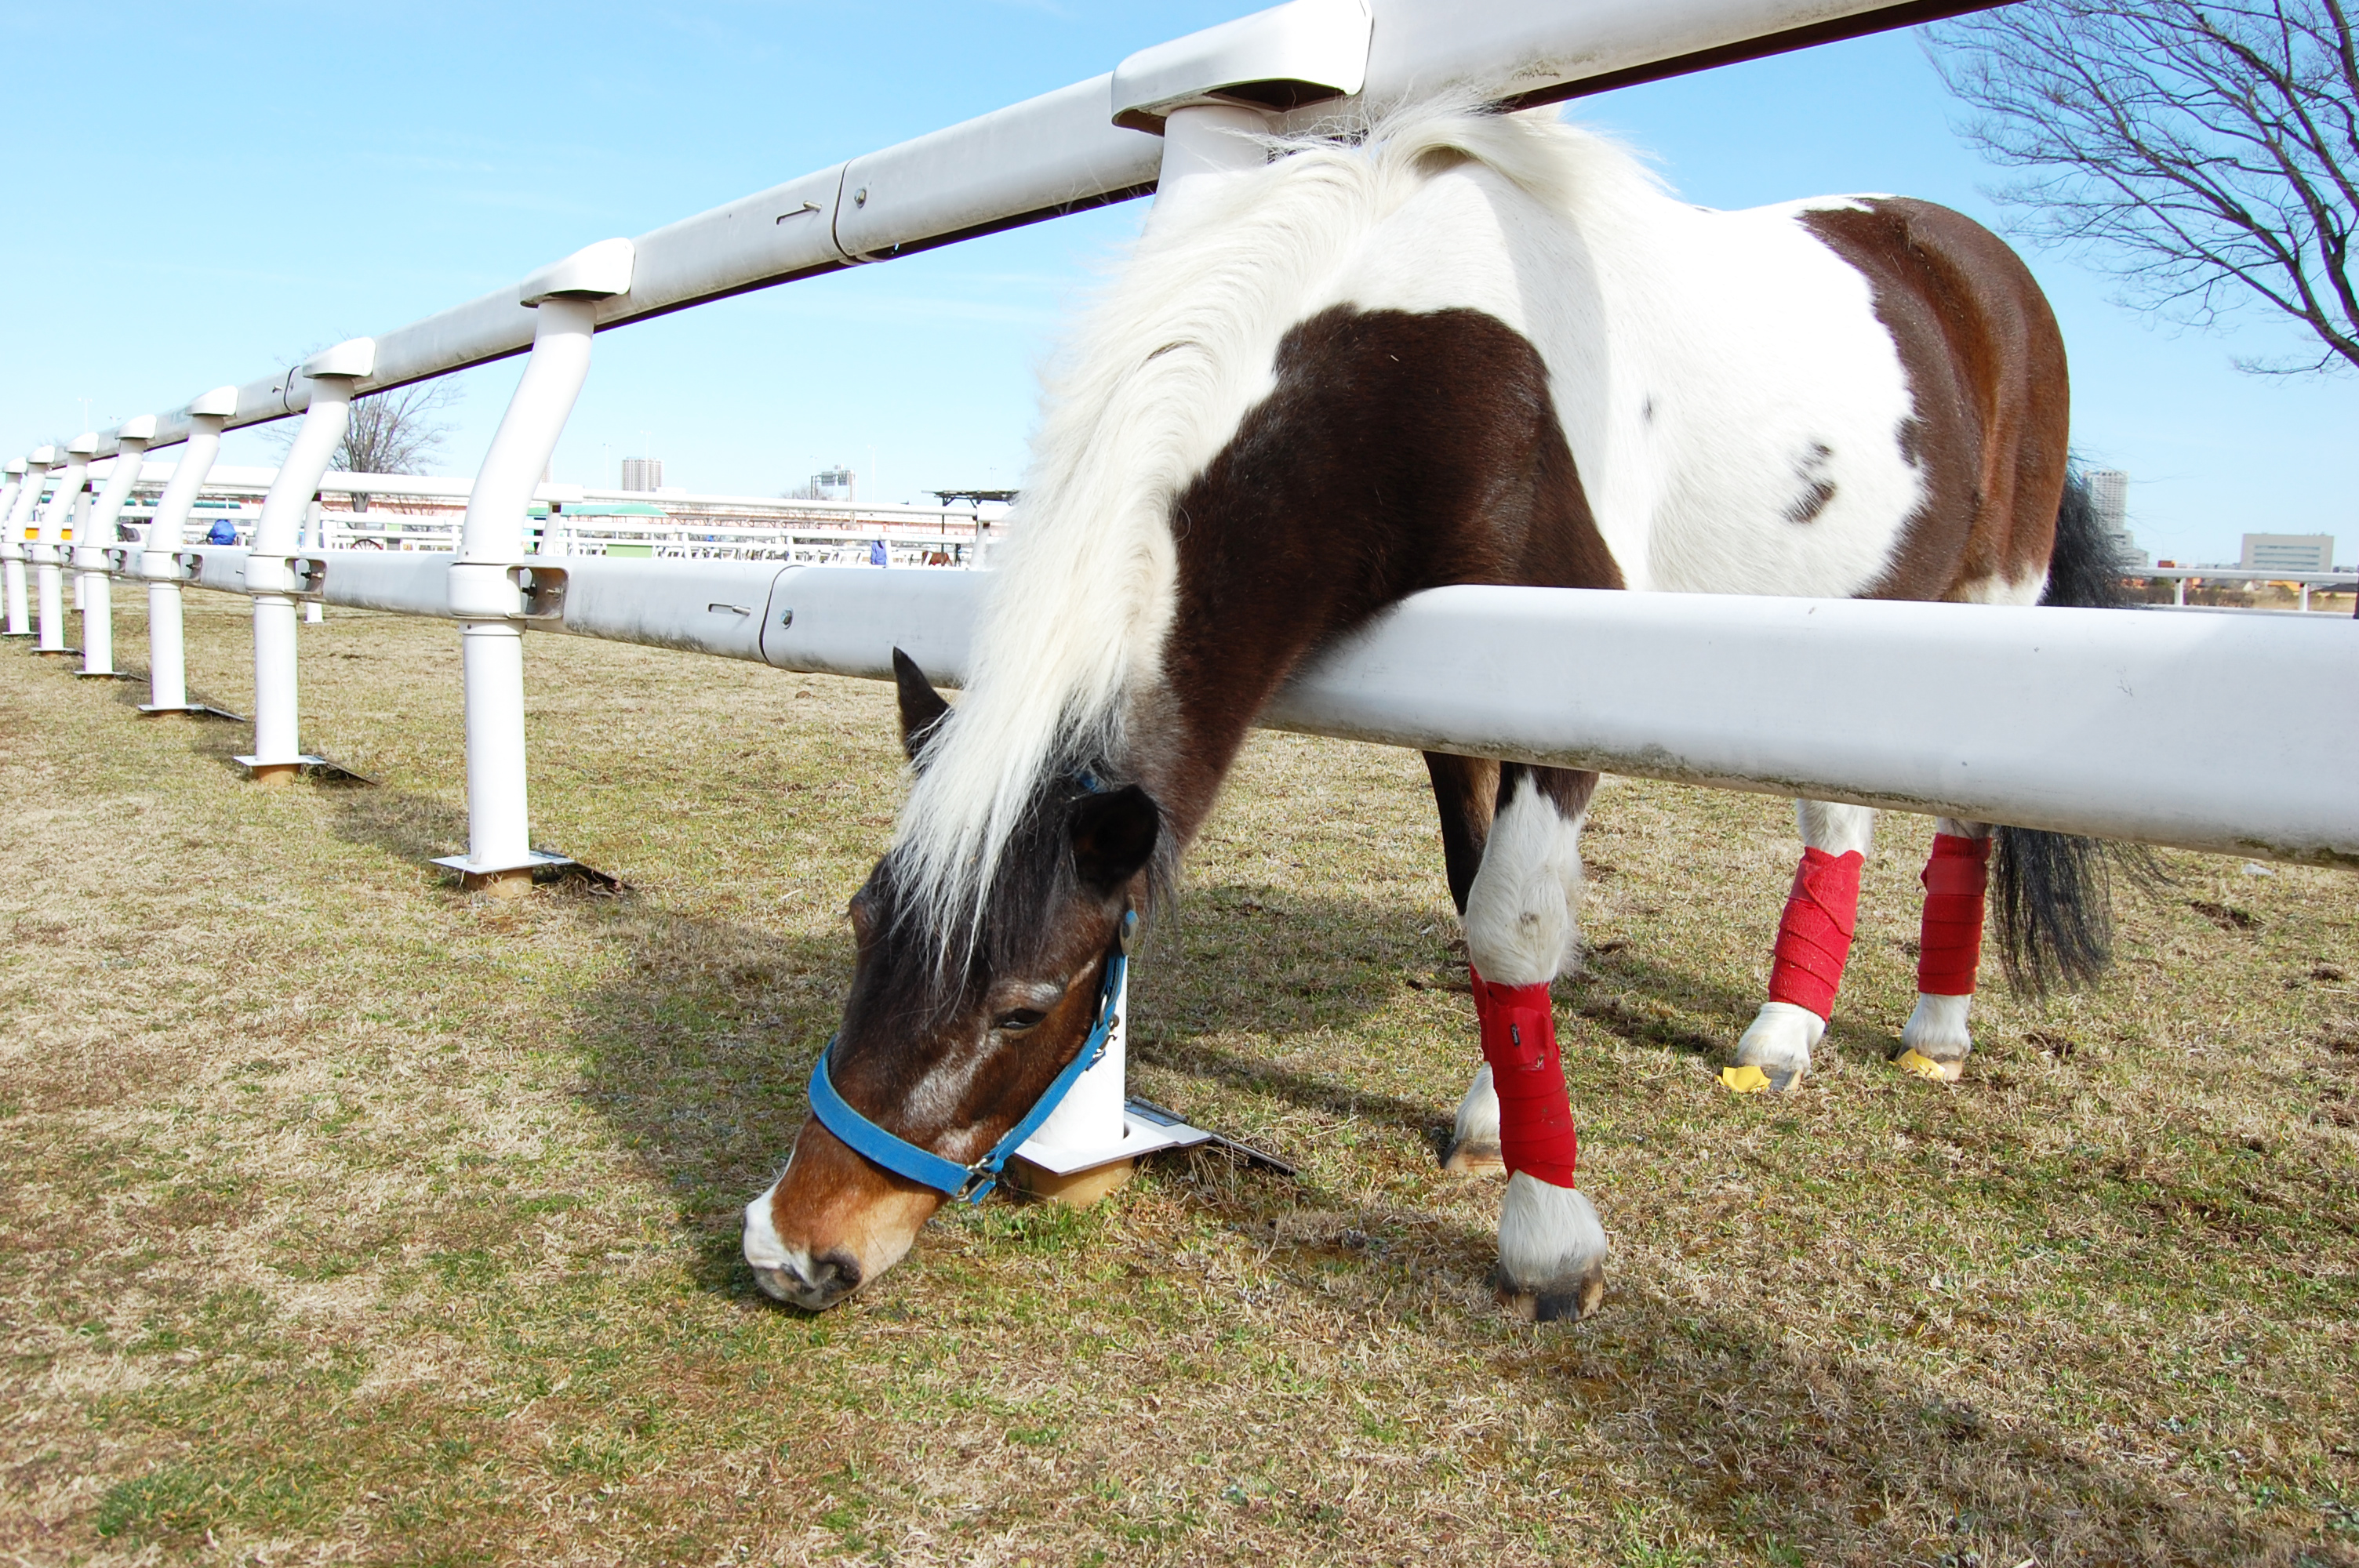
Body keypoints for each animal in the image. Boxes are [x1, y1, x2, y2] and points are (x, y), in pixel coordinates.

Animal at [744, 103, 2123, 1320]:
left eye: (1027, 1006)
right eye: (863, 926)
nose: (794, 1249)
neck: (1426, 350)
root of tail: (1969, 258)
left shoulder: (1562, 695)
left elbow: (1514, 924)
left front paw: (1550, 1238)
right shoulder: (1460, 696)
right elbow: (1480, 907)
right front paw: (1495, 1122)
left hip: (1987, 605)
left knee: (1961, 822)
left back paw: (1927, 1031)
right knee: (1838, 819)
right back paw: (1786, 1034)